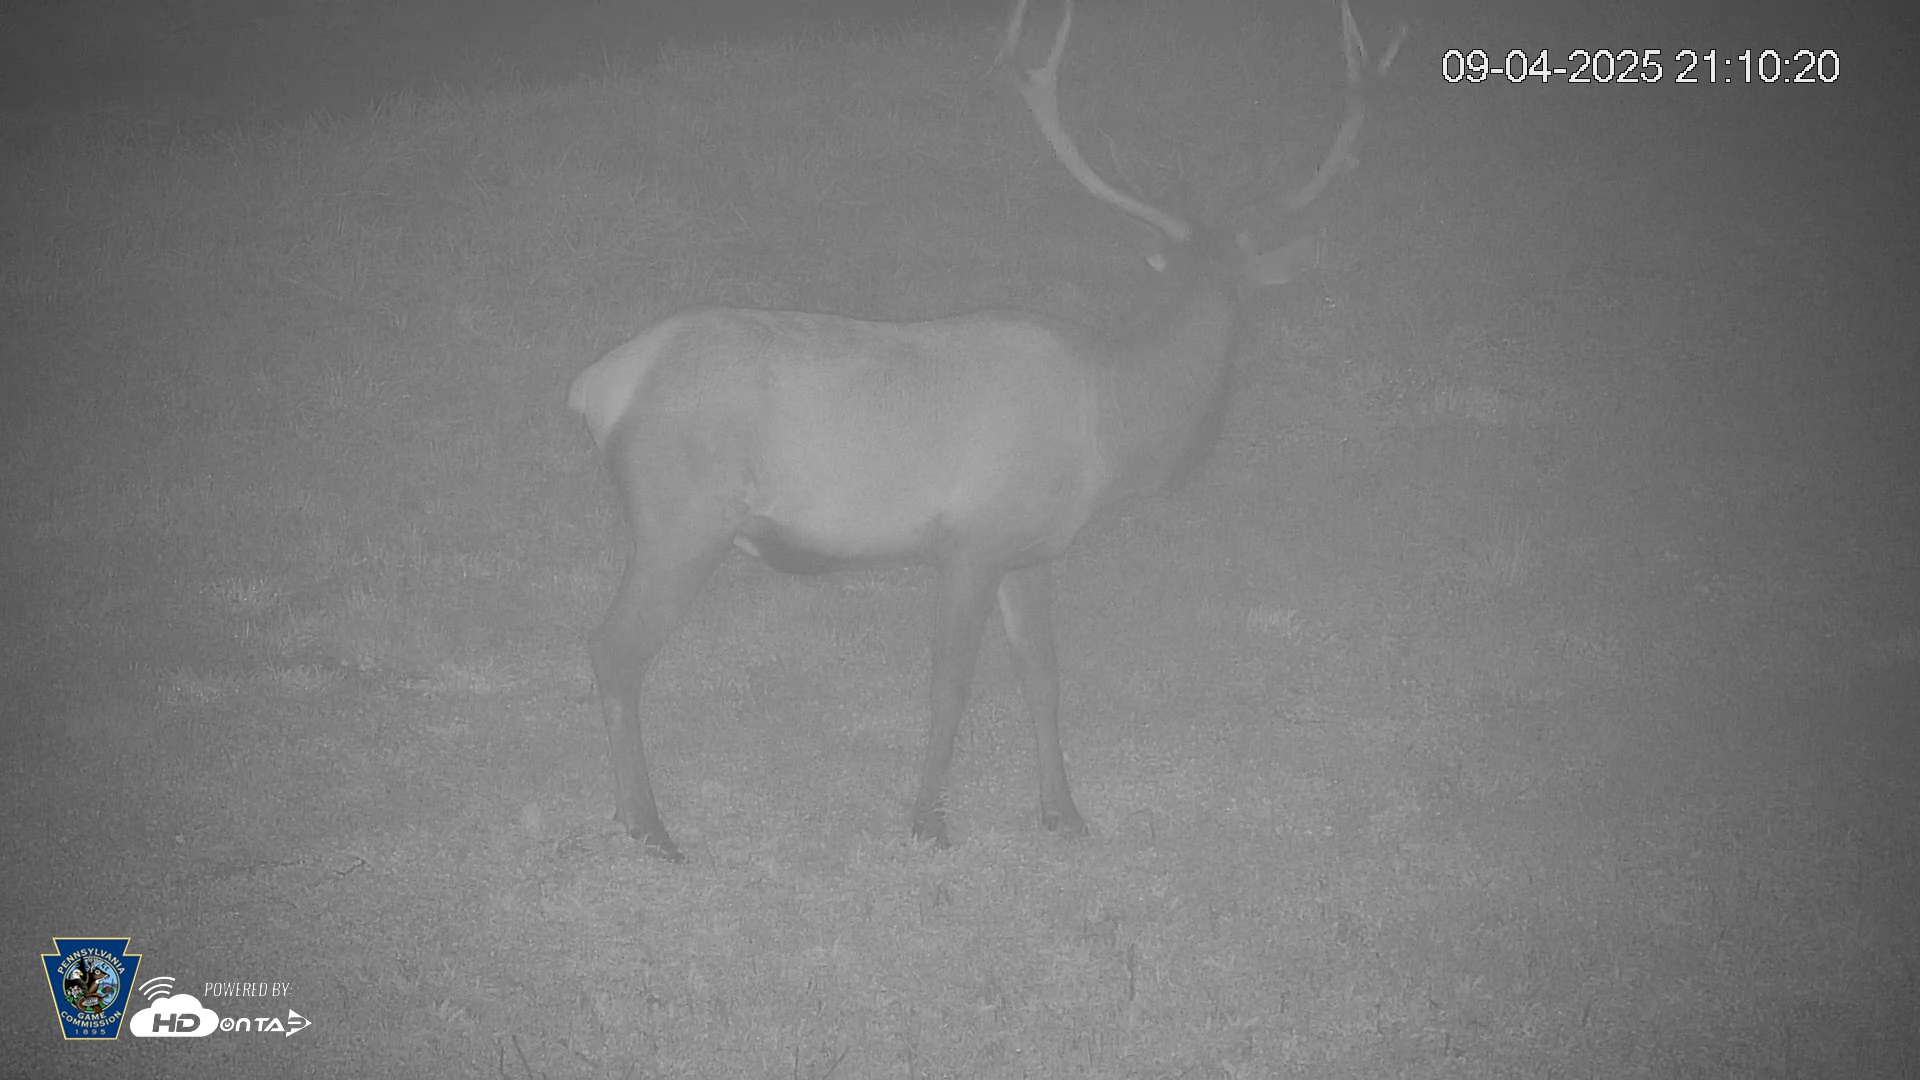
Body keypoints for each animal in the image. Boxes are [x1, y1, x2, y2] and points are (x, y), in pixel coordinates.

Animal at [568, 0, 1404, 861]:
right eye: (1238, 295)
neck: (1110, 423)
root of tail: (599, 385)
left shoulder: (1030, 550)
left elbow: (1044, 674)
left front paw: (1064, 811)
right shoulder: (969, 541)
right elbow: (952, 684)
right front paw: (928, 820)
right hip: (682, 518)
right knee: (613, 649)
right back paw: (650, 826)